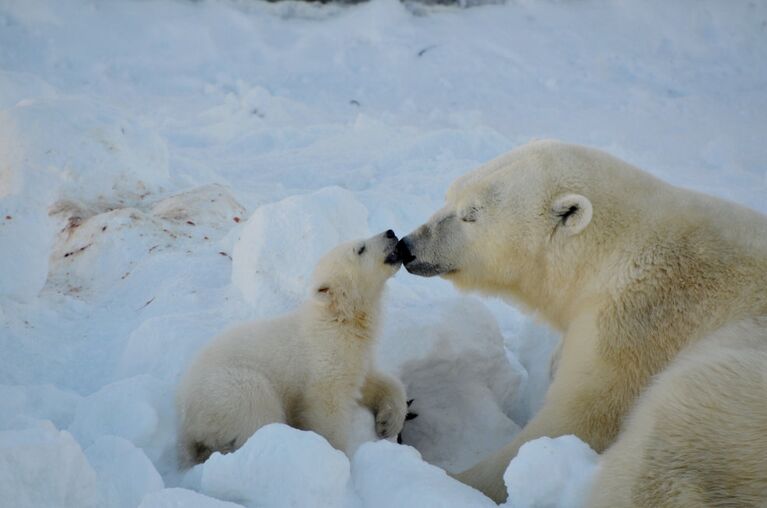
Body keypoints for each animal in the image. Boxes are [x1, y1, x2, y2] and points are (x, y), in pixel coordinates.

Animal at [178, 229, 412, 464]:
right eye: (360, 248)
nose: (390, 233)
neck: (340, 319)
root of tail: (189, 426)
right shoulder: (324, 358)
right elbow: (327, 409)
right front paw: (336, 455)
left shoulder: (356, 355)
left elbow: (373, 381)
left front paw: (388, 422)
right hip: (230, 389)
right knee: (257, 411)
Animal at [396, 141, 767, 506]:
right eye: (449, 194)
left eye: (470, 215)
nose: (406, 246)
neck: (616, 251)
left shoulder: (639, 324)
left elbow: (579, 419)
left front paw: (451, 476)